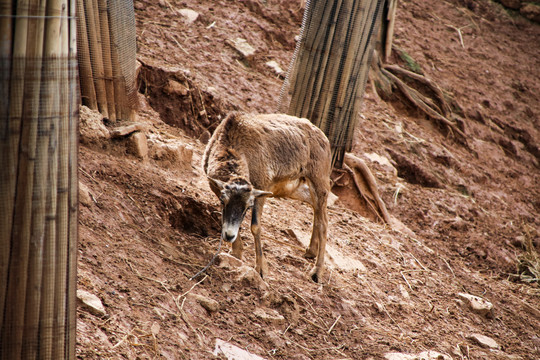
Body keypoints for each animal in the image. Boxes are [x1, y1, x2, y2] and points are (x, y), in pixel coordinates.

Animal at [202, 114, 332, 282]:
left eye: (248, 207)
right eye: (223, 201)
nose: (229, 236)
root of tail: (324, 139)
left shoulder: (261, 190)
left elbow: (255, 226)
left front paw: (261, 270)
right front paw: (236, 253)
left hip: (319, 181)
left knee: (324, 223)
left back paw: (316, 272)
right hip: (295, 188)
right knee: (316, 209)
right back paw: (310, 251)